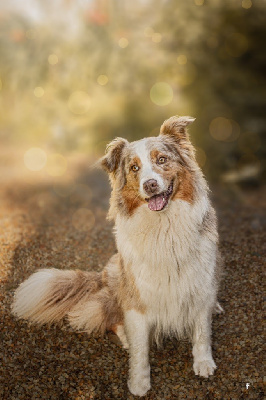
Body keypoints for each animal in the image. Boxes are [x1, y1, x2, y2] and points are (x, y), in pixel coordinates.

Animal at [11, 115, 222, 396]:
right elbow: (141, 350)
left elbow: (201, 332)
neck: (164, 228)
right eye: (134, 168)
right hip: (116, 275)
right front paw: (139, 383)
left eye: (162, 159)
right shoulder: (137, 296)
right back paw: (124, 336)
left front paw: (203, 363)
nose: (150, 185)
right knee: (111, 315)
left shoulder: (200, 281)